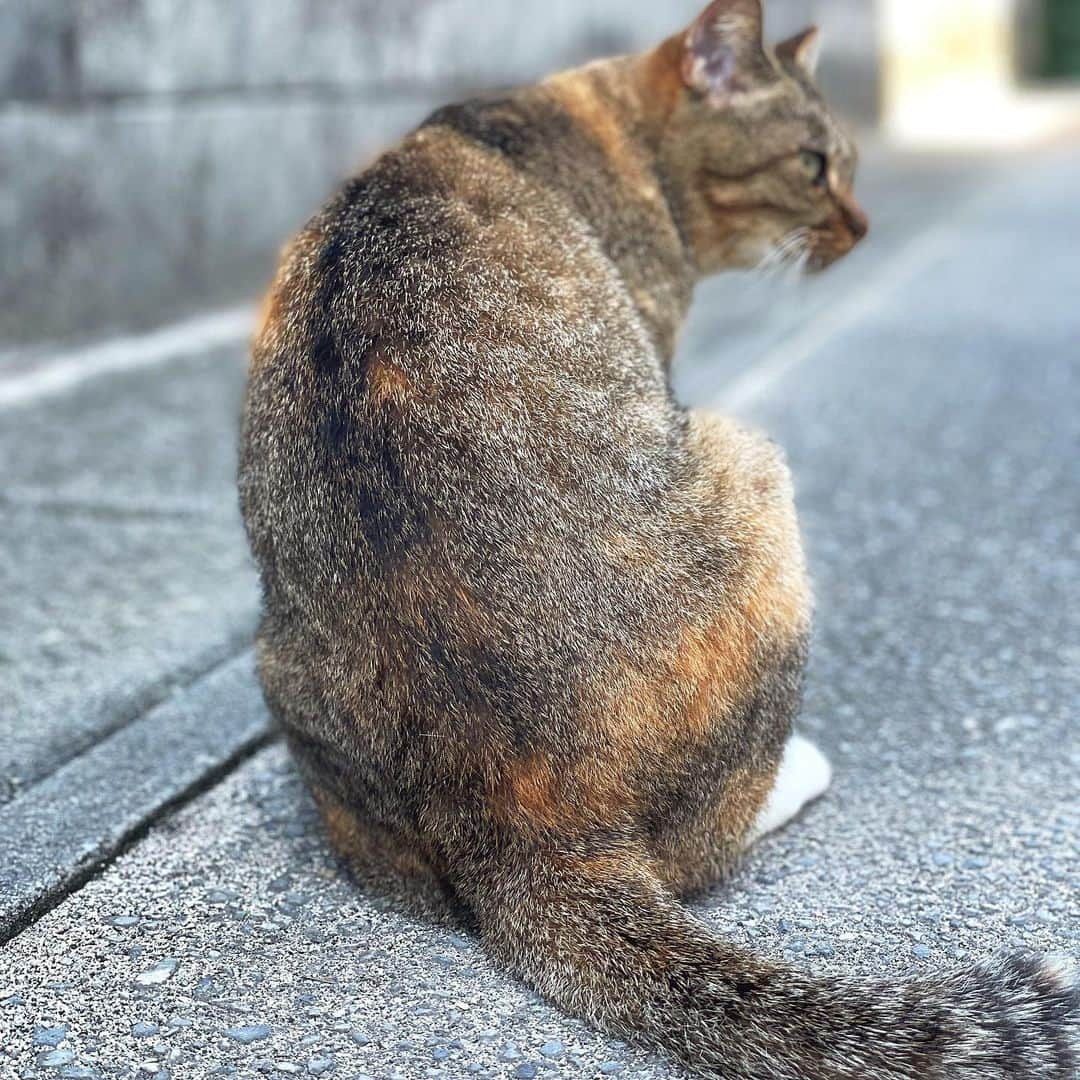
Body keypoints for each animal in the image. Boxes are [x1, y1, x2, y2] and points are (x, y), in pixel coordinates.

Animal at [238, 4, 1080, 1075]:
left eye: (846, 167)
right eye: (815, 165)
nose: (863, 225)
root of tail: (513, 826)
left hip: (290, 681)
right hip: (752, 471)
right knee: (703, 848)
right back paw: (793, 776)